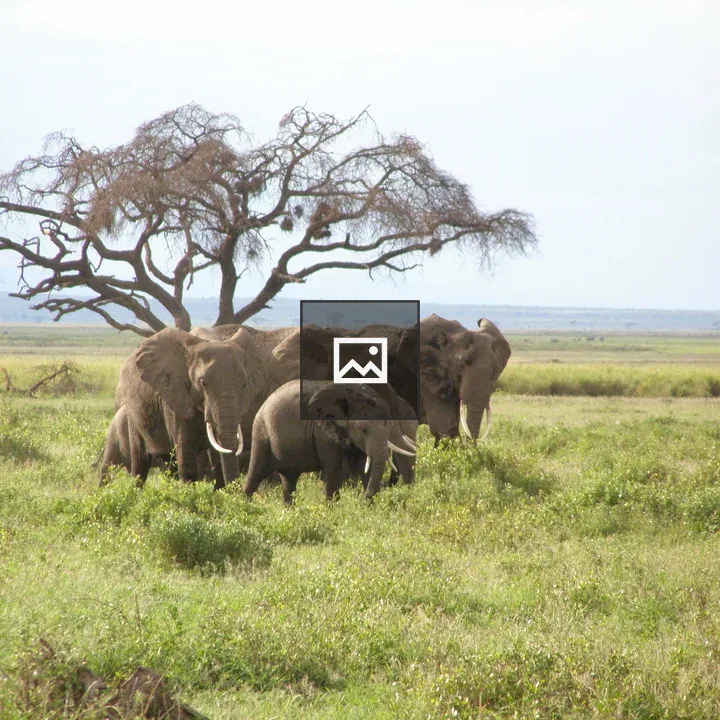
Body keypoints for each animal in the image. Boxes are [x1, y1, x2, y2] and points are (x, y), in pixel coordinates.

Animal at [115, 326, 273, 488]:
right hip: (131, 410)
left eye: (243, 385)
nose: (235, 491)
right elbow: (186, 453)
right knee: (140, 464)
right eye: (203, 383)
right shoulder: (175, 394)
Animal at [243, 380, 417, 504]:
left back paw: (289, 511)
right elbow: (333, 465)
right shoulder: (322, 431)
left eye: (389, 426)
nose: (362, 501)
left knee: (289, 480)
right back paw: (244, 505)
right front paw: (332, 508)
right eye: (363, 430)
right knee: (256, 473)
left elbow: (362, 464)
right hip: (260, 433)